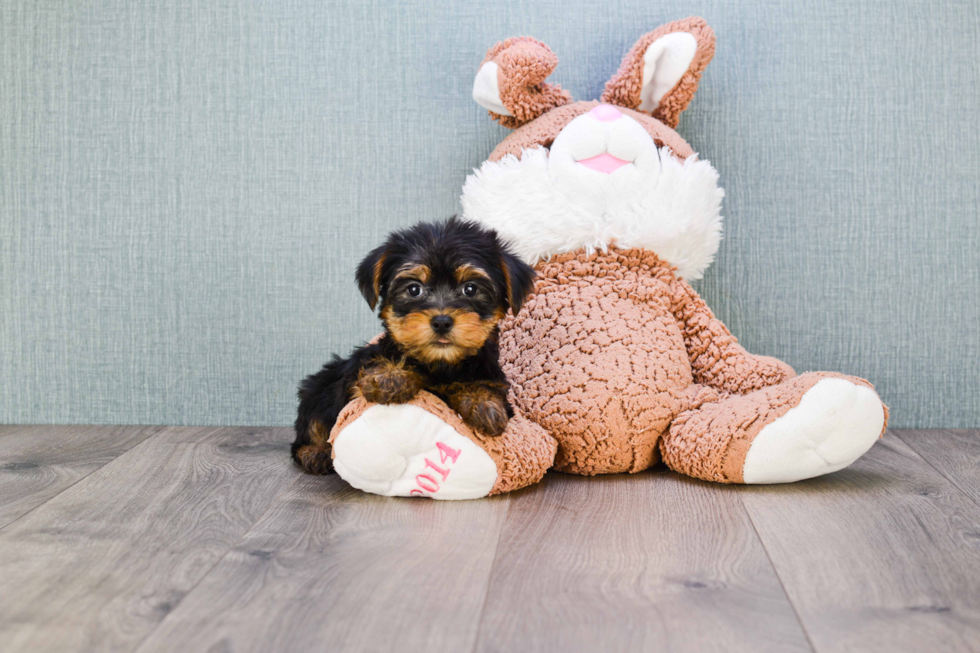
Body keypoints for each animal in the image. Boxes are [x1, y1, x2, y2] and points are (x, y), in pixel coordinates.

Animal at [290, 218, 536, 474]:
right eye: (414, 289)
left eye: (470, 289)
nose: (441, 321)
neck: (440, 364)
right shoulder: (356, 386)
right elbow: (369, 377)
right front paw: (390, 376)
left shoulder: (491, 376)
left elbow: (487, 387)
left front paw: (484, 404)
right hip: (318, 387)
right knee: (307, 430)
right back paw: (315, 452)